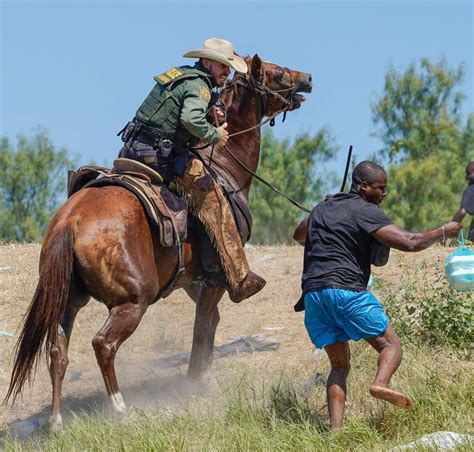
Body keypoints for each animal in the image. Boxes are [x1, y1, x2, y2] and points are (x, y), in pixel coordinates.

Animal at [5, 54, 312, 430]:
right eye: (277, 73)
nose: (308, 79)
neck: (225, 165)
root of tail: (71, 222)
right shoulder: (216, 278)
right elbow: (202, 326)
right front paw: (197, 382)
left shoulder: (193, 280)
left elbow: (210, 322)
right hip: (133, 301)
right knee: (103, 344)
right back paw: (120, 408)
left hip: (69, 300)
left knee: (57, 351)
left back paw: (57, 421)